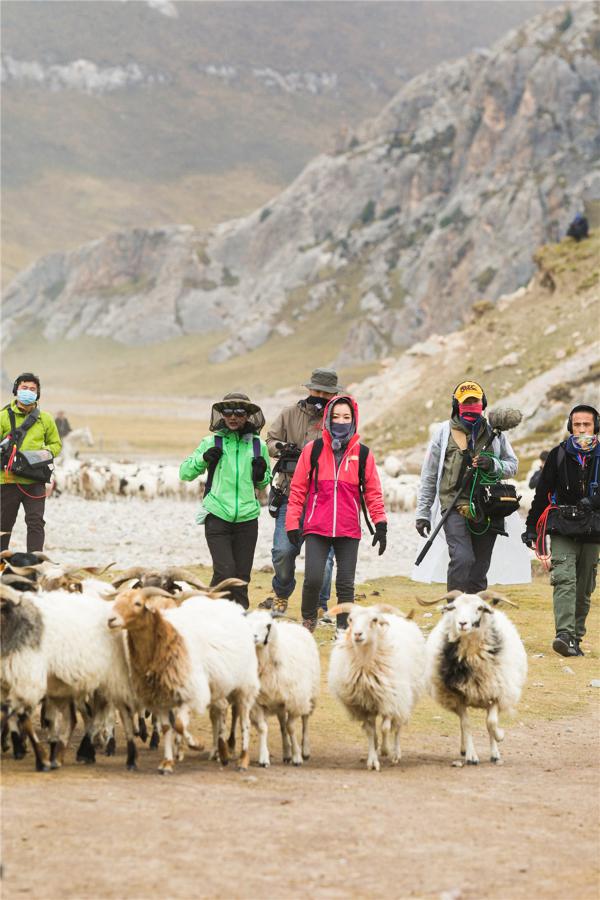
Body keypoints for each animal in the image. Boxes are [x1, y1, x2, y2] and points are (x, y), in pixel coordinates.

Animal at [245, 608, 318, 764]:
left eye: (268, 625)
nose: (253, 637)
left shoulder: (294, 700)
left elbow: (291, 728)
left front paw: (297, 757)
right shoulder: (257, 703)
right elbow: (263, 728)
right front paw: (264, 758)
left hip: (309, 694)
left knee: (305, 720)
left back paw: (305, 750)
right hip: (279, 703)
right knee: (282, 725)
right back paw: (286, 753)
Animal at [326, 600, 424, 768]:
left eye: (374, 620)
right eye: (350, 619)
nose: (357, 634)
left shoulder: (390, 700)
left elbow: (385, 727)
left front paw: (385, 749)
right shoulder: (363, 705)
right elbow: (369, 731)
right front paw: (372, 760)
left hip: (404, 699)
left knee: (397, 727)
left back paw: (395, 753)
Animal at [424, 592, 528, 768]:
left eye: (480, 608)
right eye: (453, 607)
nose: (462, 623)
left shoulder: (495, 693)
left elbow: (491, 723)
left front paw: (500, 738)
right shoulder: (458, 695)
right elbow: (466, 724)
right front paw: (471, 756)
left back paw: (494, 754)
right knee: (462, 722)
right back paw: (464, 749)